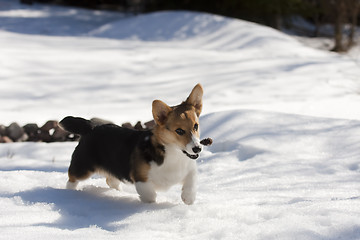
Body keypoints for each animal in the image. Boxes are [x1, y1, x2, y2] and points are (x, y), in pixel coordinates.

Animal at [60, 84, 204, 204]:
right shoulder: (141, 179)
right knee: (72, 180)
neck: (174, 155)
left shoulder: (190, 168)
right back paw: (69, 194)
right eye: (179, 131)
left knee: (110, 180)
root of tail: (91, 127)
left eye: (196, 126)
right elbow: (149, 195)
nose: (197, 149)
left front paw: (188, 198)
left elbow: (191, 180)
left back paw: (118, 193)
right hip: (83, 168)